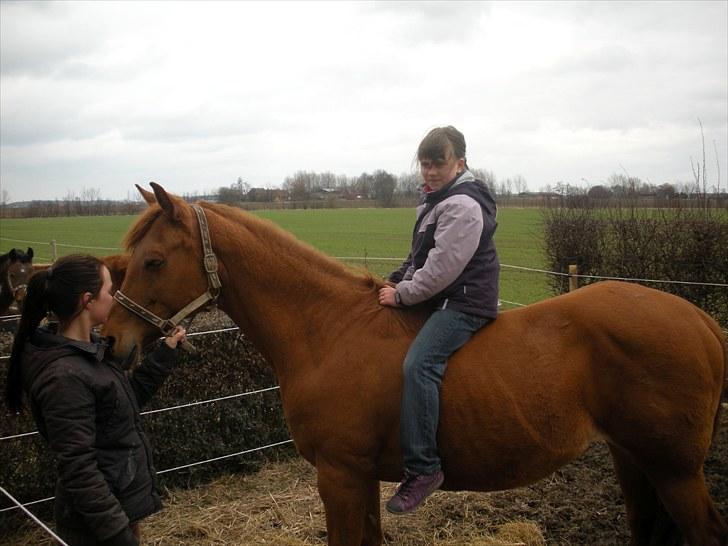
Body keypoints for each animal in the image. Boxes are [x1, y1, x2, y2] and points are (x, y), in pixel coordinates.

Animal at [104, 184, 728, 544]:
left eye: (153, 260)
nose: (111, 343)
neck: (329, 330)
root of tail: (702, 321)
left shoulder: (340, 476)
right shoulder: (358, 478)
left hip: (673, 469)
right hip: (633, 458)